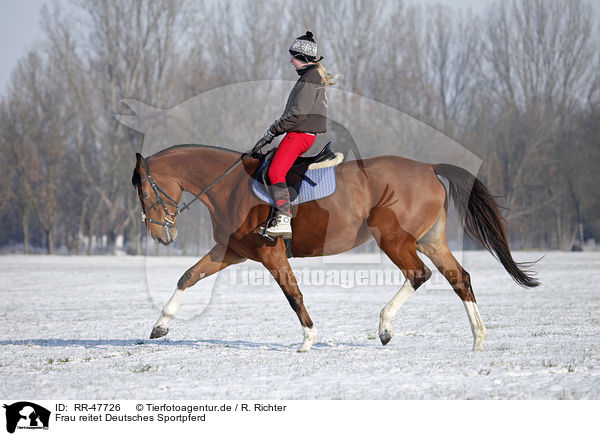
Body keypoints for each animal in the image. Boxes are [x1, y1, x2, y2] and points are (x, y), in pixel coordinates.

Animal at [132, 145, 540, 352]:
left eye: (144, 191)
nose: (161, 235)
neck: (232, 186)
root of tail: (427, 167)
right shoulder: (229, 251)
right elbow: (188, 276)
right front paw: (160, 325)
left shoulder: (270, 254)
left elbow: (293, 294)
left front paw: (308, 339)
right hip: (430, 240)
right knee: (459, 278)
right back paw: (478, 338)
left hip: (395, 240)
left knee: (419, 274)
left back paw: (385, 326)